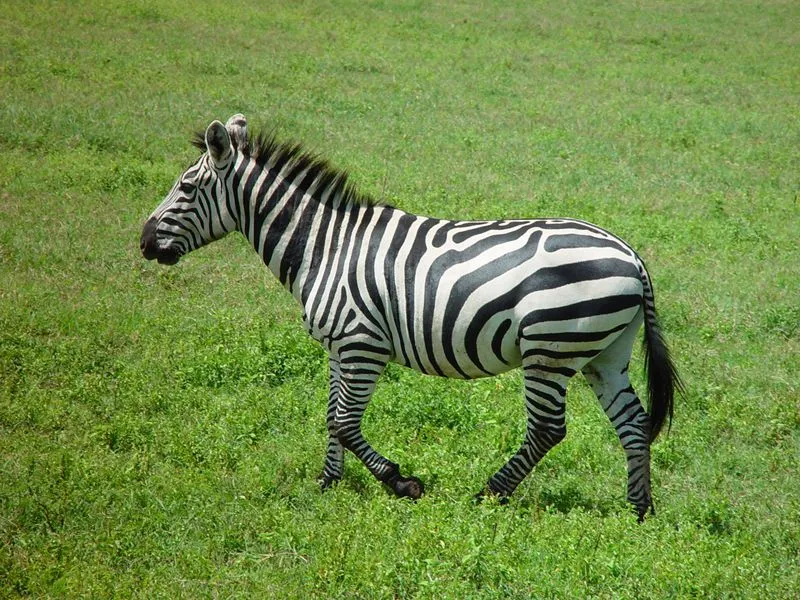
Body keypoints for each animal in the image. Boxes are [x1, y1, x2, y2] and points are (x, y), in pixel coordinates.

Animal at [141, 115, 680, 516]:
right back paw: (639, 513)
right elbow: (330, 417)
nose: (144, 243)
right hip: (604, 355)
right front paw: (326, 484)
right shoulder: (337, 347)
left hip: (549, 347)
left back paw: (489, 493)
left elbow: (345, 422)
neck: (324, 247)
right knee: (633, 425)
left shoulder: (363, 344)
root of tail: (632, 256)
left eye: (185, 187)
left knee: (548, 429)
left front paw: (402, 483)